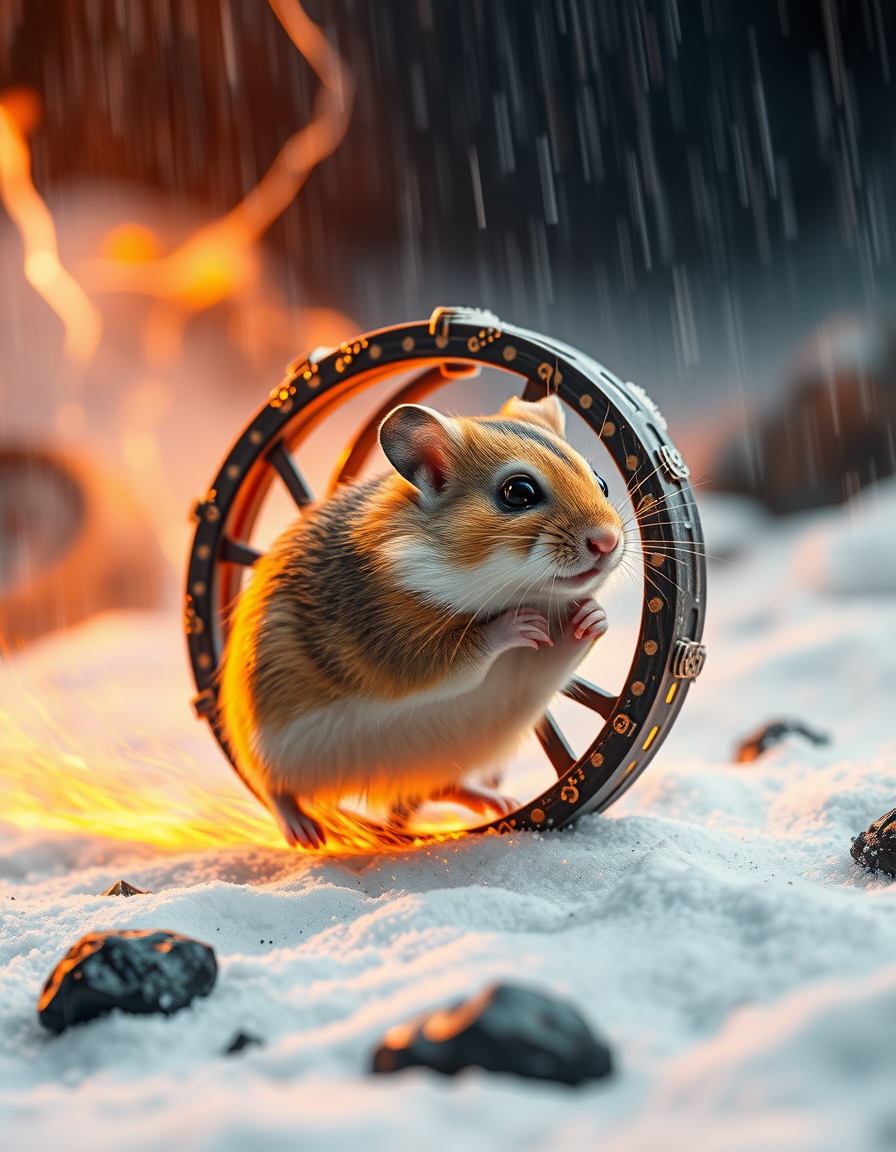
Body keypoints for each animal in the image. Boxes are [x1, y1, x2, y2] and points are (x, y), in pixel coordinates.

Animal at [219, 394, 626, 848]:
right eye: (518, 492)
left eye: (603, 483)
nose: (608, 541)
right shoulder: (397, 646)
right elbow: (465, 653)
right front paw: (518, 625)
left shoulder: (524, 675)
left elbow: (558, 655)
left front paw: (593, 616)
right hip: (264, 742)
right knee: (272, 787)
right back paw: (304, 833)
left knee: (440, 788)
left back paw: (495, 802)